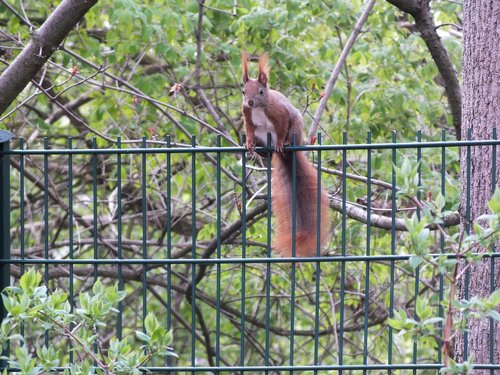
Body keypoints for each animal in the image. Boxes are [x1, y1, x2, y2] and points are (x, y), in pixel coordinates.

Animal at [241, 52, 330, 258]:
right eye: (243, 92)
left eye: (261, 92)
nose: (249, 101)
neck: (258, 108)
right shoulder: (247, 116)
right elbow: (249, 130)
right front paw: (249, 143)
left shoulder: (280, 113)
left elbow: (282, 127)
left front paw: (281, 142)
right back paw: (259, 150)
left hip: (296, 128)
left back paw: (285, 145)